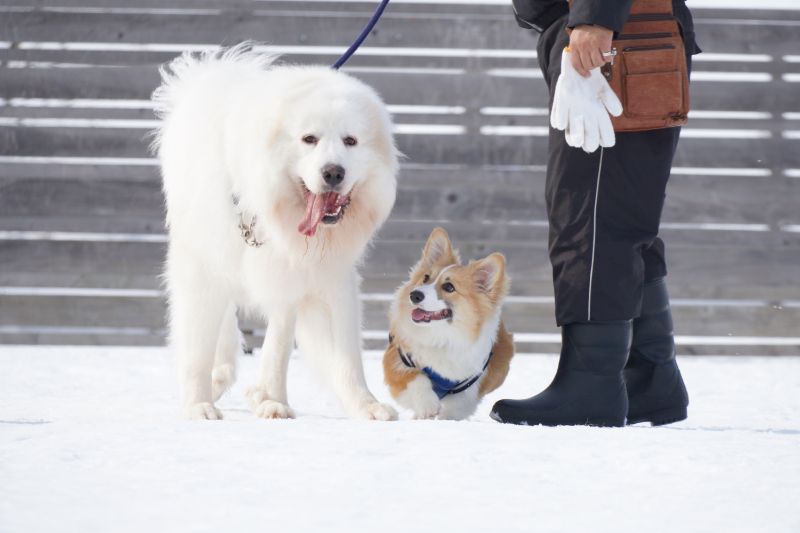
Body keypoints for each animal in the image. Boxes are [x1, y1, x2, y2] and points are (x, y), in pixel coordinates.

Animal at [152, 45, 398, 420]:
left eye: (351, 141)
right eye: (309, 139)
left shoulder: (318, 277)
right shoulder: (204, 269)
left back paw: (265, 395)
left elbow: (335, 354)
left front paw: (364, 405)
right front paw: (198, 405)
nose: (333, 172)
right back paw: (224, 378)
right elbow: (198, 346)